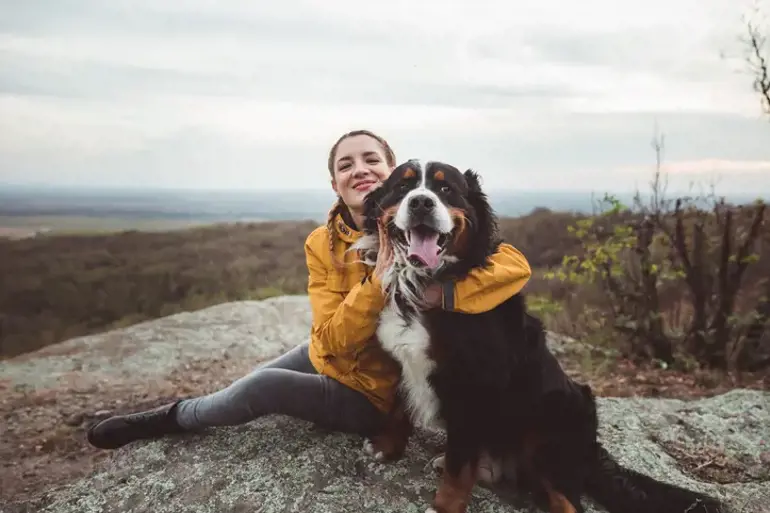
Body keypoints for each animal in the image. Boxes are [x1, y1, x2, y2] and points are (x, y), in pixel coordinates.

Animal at [352, 159, 724, 512]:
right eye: (403, 186)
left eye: (446, 189)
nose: (421, 203)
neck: (428, 283)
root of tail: (591, 451)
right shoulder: (403, 362)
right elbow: (399, 410)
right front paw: (386, 447)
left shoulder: (472, 386)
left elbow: (459, 470)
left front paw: (444, 507)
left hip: (546, 431)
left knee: (567, 502)